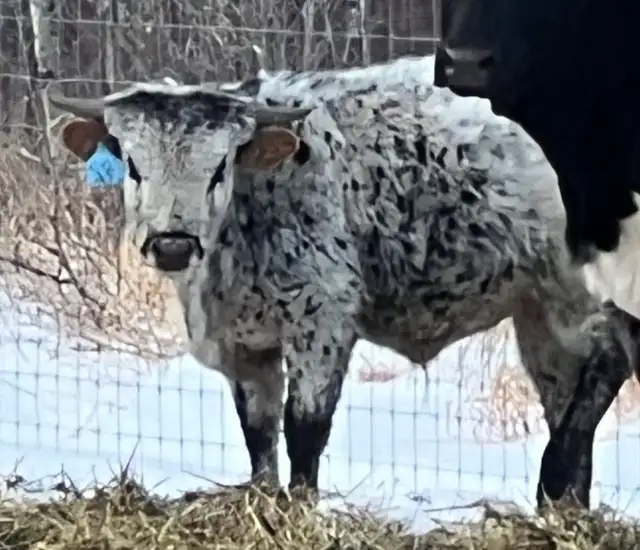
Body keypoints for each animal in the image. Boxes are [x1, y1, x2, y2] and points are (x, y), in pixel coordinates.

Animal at [48, 81, 640, 510]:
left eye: (220, 166)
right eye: (131, 164)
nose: (172, 244)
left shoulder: (322, 318)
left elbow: (305, 428)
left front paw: (301, 509)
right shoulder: (245, 346)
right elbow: (258, 434)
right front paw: (264, 500)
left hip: (580, 292)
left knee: (608, 362)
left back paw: (552, 479)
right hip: (537, 311)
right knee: (567, 395)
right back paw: (564, 507)